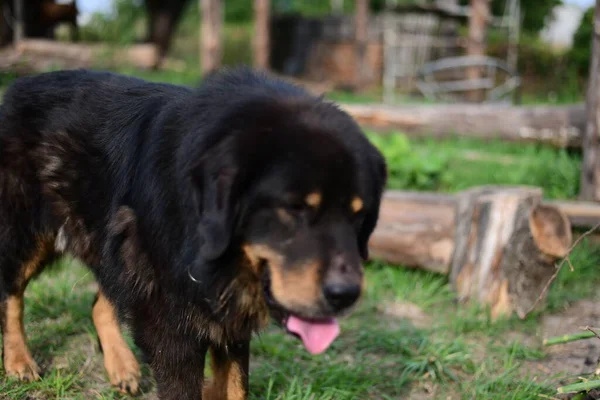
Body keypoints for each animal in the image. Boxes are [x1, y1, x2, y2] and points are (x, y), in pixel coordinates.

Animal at [0, 67, 384, 398]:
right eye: (295, 209)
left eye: (359, 215)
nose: (345, 294)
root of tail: (21, 84)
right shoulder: (170, 327)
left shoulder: (228, 319)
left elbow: (235, 387)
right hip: (30, 234)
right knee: (11, 294)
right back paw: (19, 361)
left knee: (99, 302)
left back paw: (121, 365)